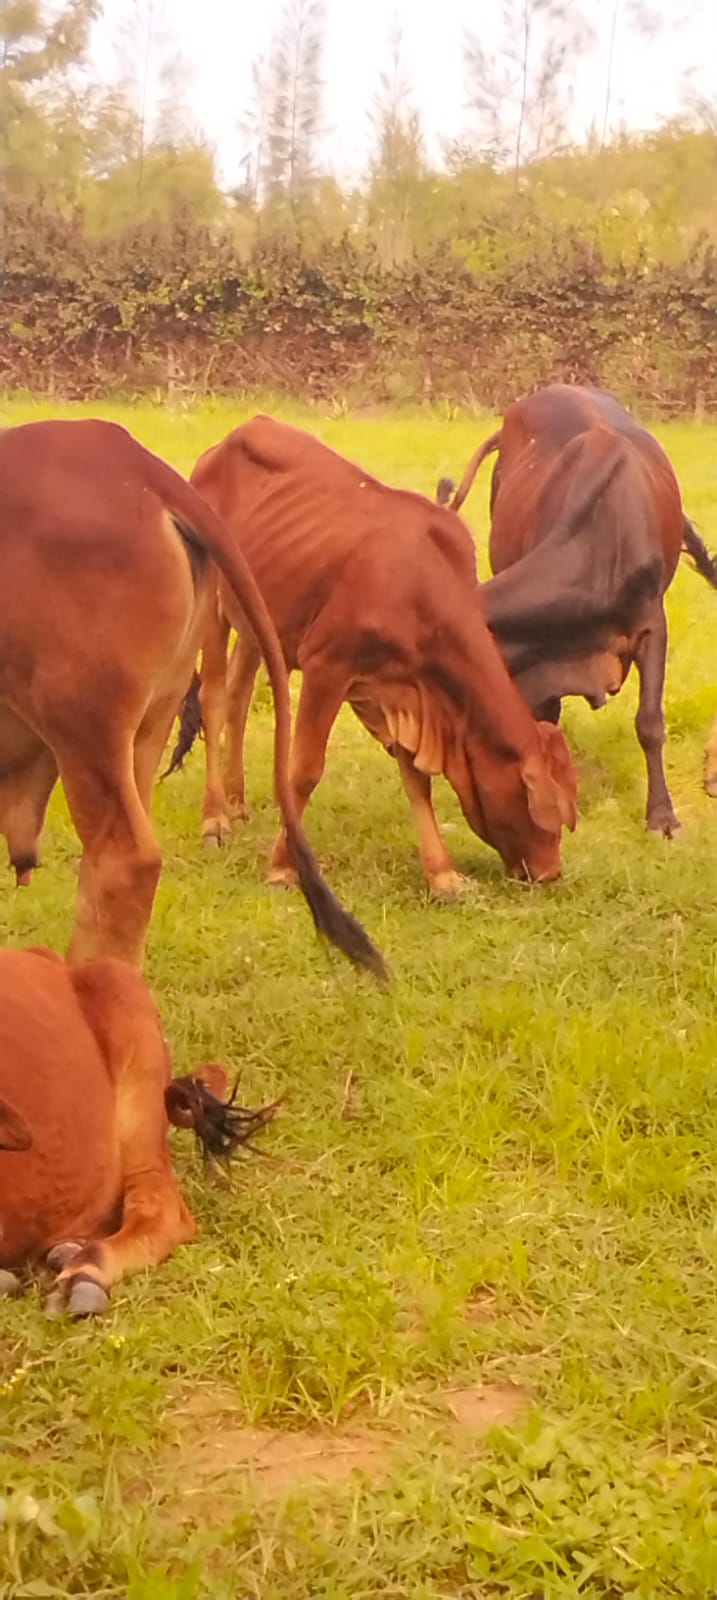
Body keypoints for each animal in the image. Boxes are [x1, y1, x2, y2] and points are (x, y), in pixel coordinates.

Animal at [169, 415, 578, 898]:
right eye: (547, 812)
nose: (550, 872)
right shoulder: (327, 667)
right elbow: (304, 770)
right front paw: (284, 867)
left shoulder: (402, 691)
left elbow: (417, 780)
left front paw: (442, 874)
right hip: (213, 604)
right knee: (213, 699)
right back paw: (215, 818)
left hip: (258, 624)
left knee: (238, 696)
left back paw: (236, 802)